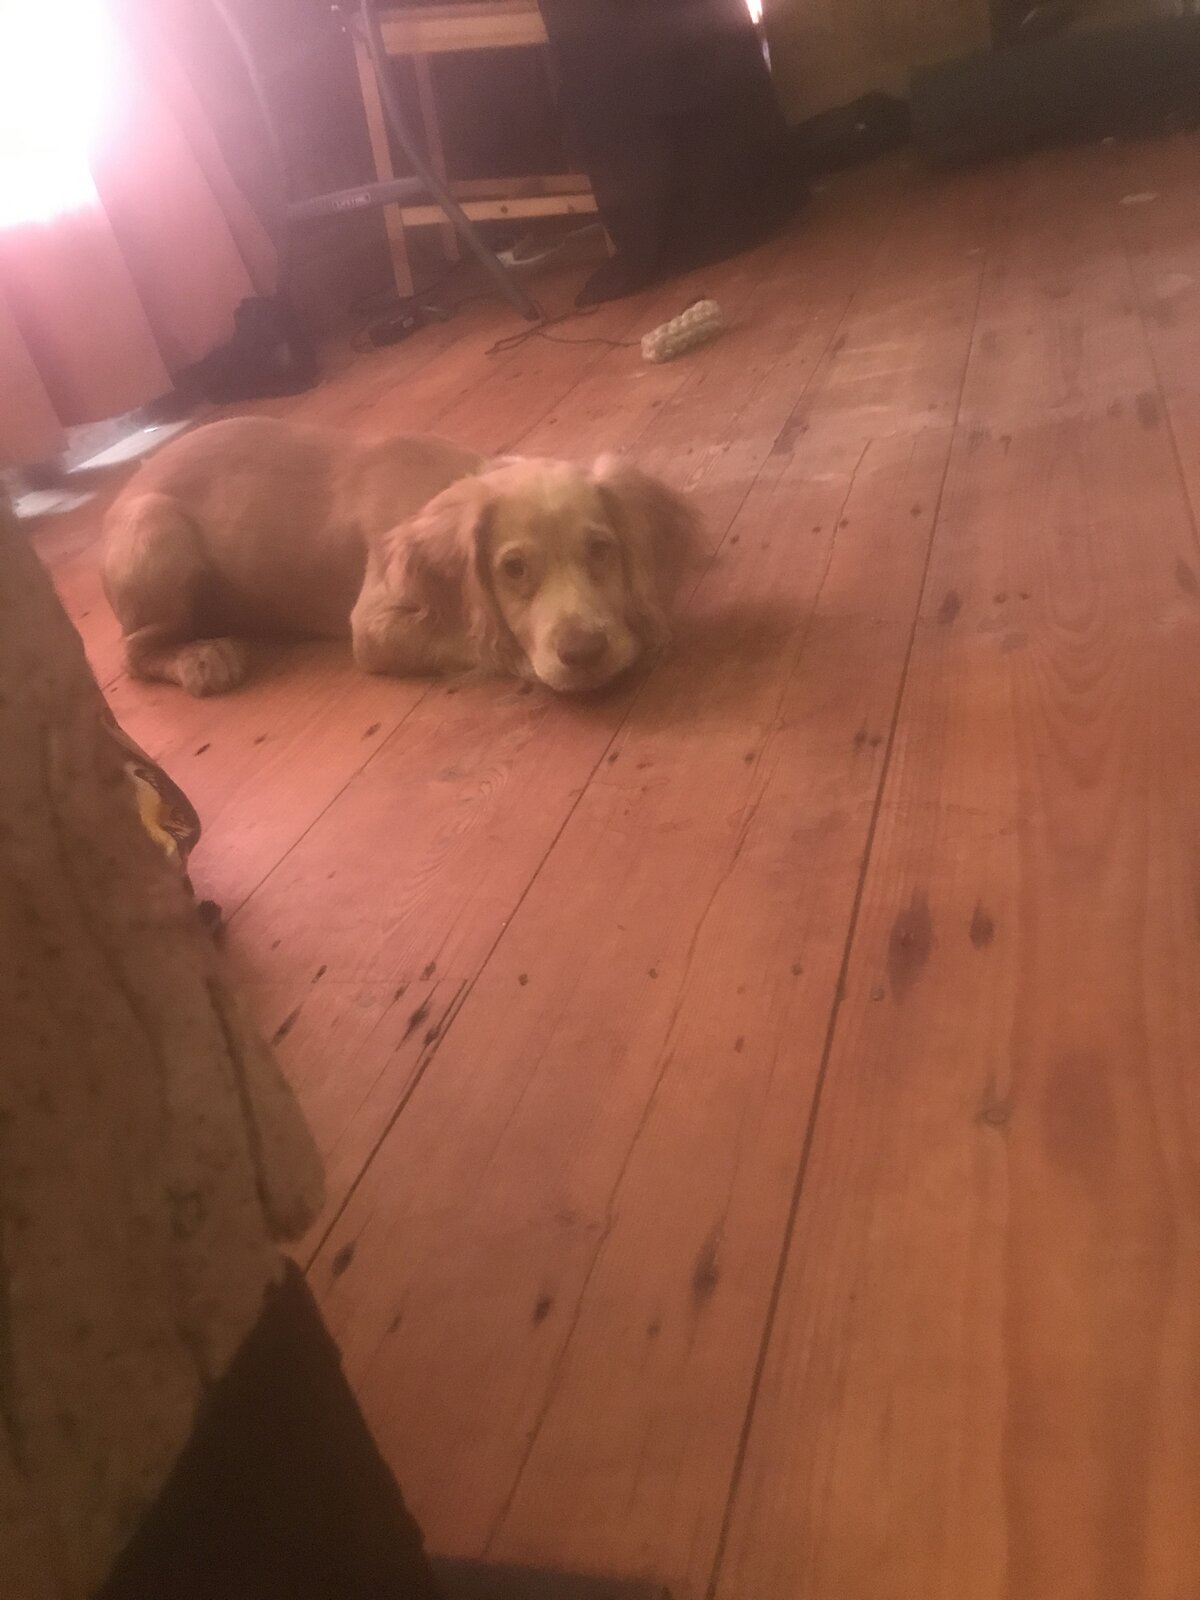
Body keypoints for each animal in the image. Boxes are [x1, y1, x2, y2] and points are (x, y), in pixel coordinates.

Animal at [101, 416, 701, 696]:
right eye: (513, 569)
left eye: (601, 550)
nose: (584, 654)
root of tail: (130, 487)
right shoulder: (369, 627)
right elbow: (467, 638)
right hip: (159, 531)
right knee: (133, 651)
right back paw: (201, 658)